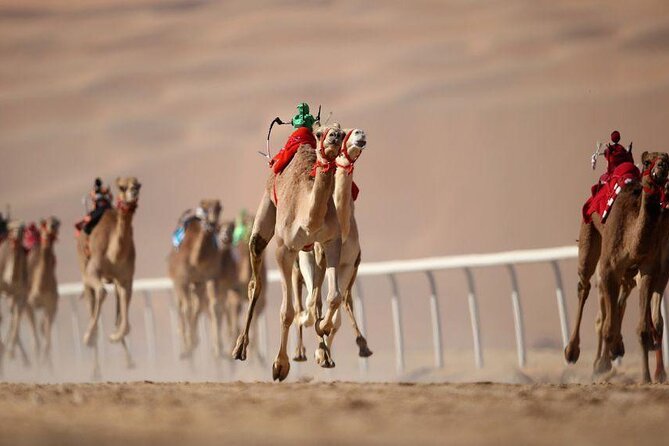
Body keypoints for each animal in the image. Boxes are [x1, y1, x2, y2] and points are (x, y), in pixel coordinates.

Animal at [76, 177, 141, 376]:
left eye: (139, 185)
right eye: (122, 187)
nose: (133, 192)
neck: (114, 255)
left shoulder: (126, 279)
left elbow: (124, 322)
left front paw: (114, 336)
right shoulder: (92, 272)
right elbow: (102, 293)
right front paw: (88, 338)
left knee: (116, 310)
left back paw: (128, 361)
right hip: (84, 273)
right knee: (93, 300)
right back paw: (95, 369)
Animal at [168, 199, 228, 359]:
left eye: (220, 208)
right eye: (204, 208)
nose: (212, 222)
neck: (195, 260)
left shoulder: (209, 277)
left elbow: (213, 307)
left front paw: (217, 349)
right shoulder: (182, 280)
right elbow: (187, 308)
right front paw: (189, 346)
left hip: (198, 284)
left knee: (197, 305)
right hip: (178, 284)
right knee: (183, 307)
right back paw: (185, 345)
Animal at [232, 123, 346, 381]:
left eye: (342, 132)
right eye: (320, 133)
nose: (334, 137)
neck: (308, 218)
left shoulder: (331, 241)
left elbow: (333, 297)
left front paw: (323, 329)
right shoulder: (284, 249)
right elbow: (287, 312)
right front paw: (280, 365)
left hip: (313, 251)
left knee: (315, 298)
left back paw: (324, 353)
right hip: (264, 218)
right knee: (255, 284)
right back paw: (239, 349)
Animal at [293, 128, 373, 361]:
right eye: (346, 133)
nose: (360, 134)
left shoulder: (348, 263)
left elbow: (335, 306)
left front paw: (323, 354)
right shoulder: (319, 258)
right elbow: (315, 303)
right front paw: (320, 348)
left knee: (342, 301)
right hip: (300, 264)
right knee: (301, 301)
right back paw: (299, 350)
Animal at [565, 152, 669, 382]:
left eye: (668, 160)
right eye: (647, 162)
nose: (661, 167)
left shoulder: (651, 269)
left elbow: (646, 326)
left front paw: (649, 377)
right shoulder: (608, 268)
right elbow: (608, 323)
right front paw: (605, 360)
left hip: (631, 273)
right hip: (588, 233)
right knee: (584, 287)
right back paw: (573, 352)